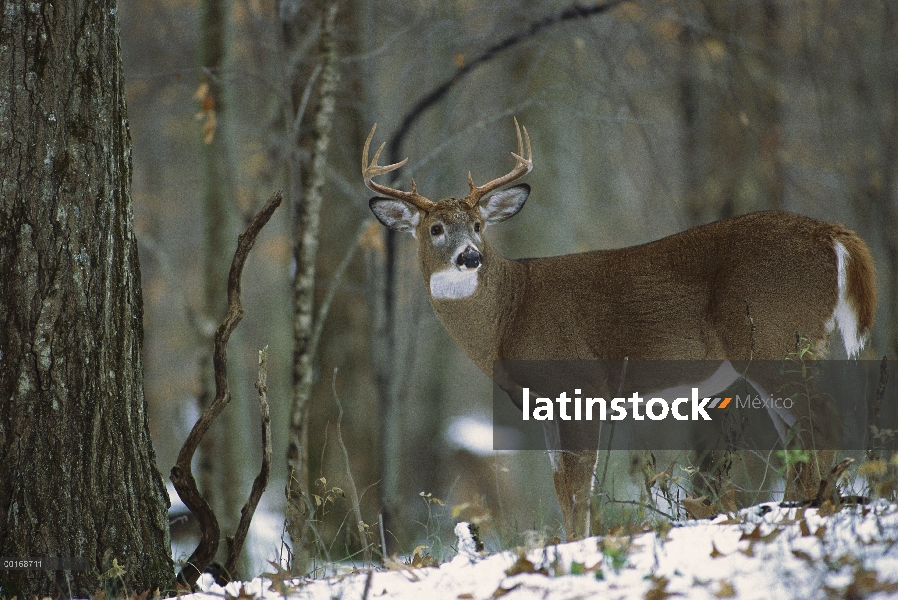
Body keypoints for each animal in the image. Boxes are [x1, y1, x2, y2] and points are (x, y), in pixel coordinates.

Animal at [358, 119, 876, 536]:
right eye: (435, 229)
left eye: (480, 225)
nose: (470, 257)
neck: (510, 315)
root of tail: (833, 234)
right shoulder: (544, 403)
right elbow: (560, 482)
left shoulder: (579, 382)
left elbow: (577, 484)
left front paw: (575, 545)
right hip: (790, 344)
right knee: (802, 433)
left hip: (775, 333)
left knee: (823, 418)